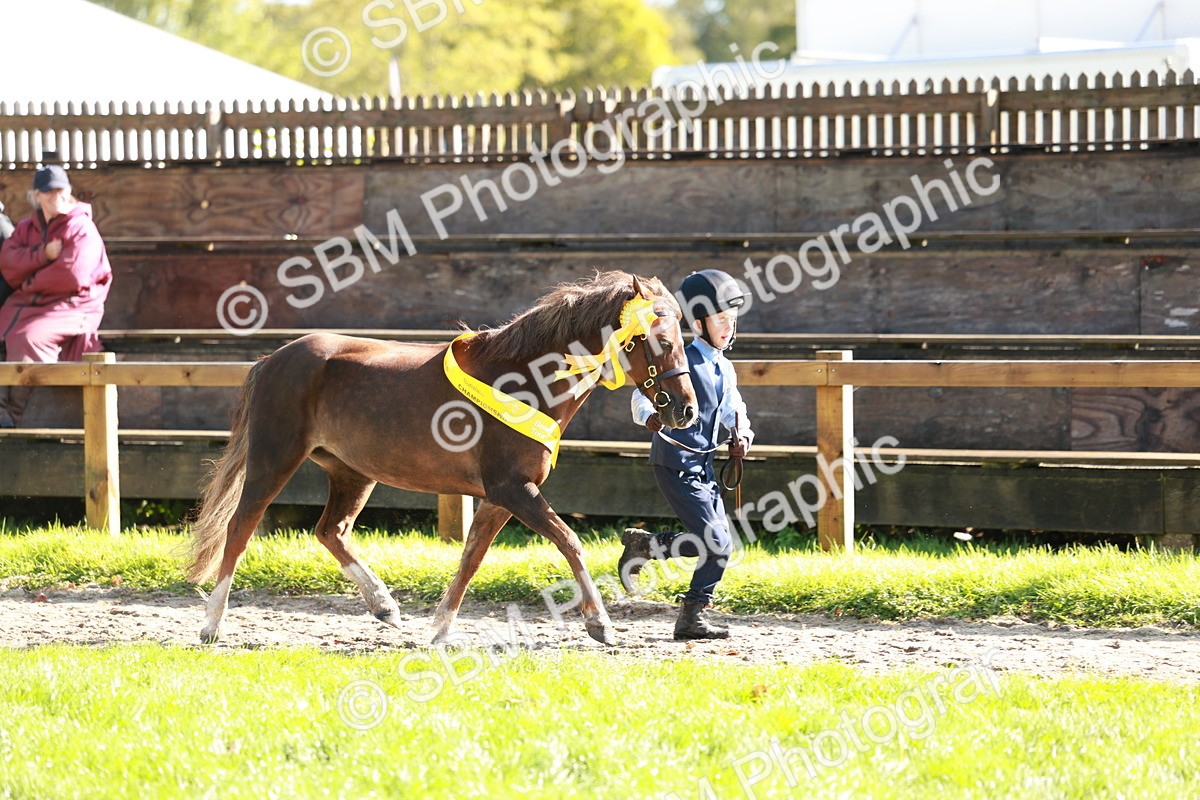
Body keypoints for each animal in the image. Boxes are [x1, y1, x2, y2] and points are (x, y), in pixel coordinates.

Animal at [186, 271, 698, 646]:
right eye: (657, 338)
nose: (685, 409)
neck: (524, 381)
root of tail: (272, 359)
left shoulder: (499, 497)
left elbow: (471, 558)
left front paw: (439, 629)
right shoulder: (514, 489)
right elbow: (570, 542)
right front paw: (601, 625)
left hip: (351, 472)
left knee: (330, 531)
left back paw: (385, 607)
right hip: (274, 459)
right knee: (240, 529)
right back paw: (212, 625)